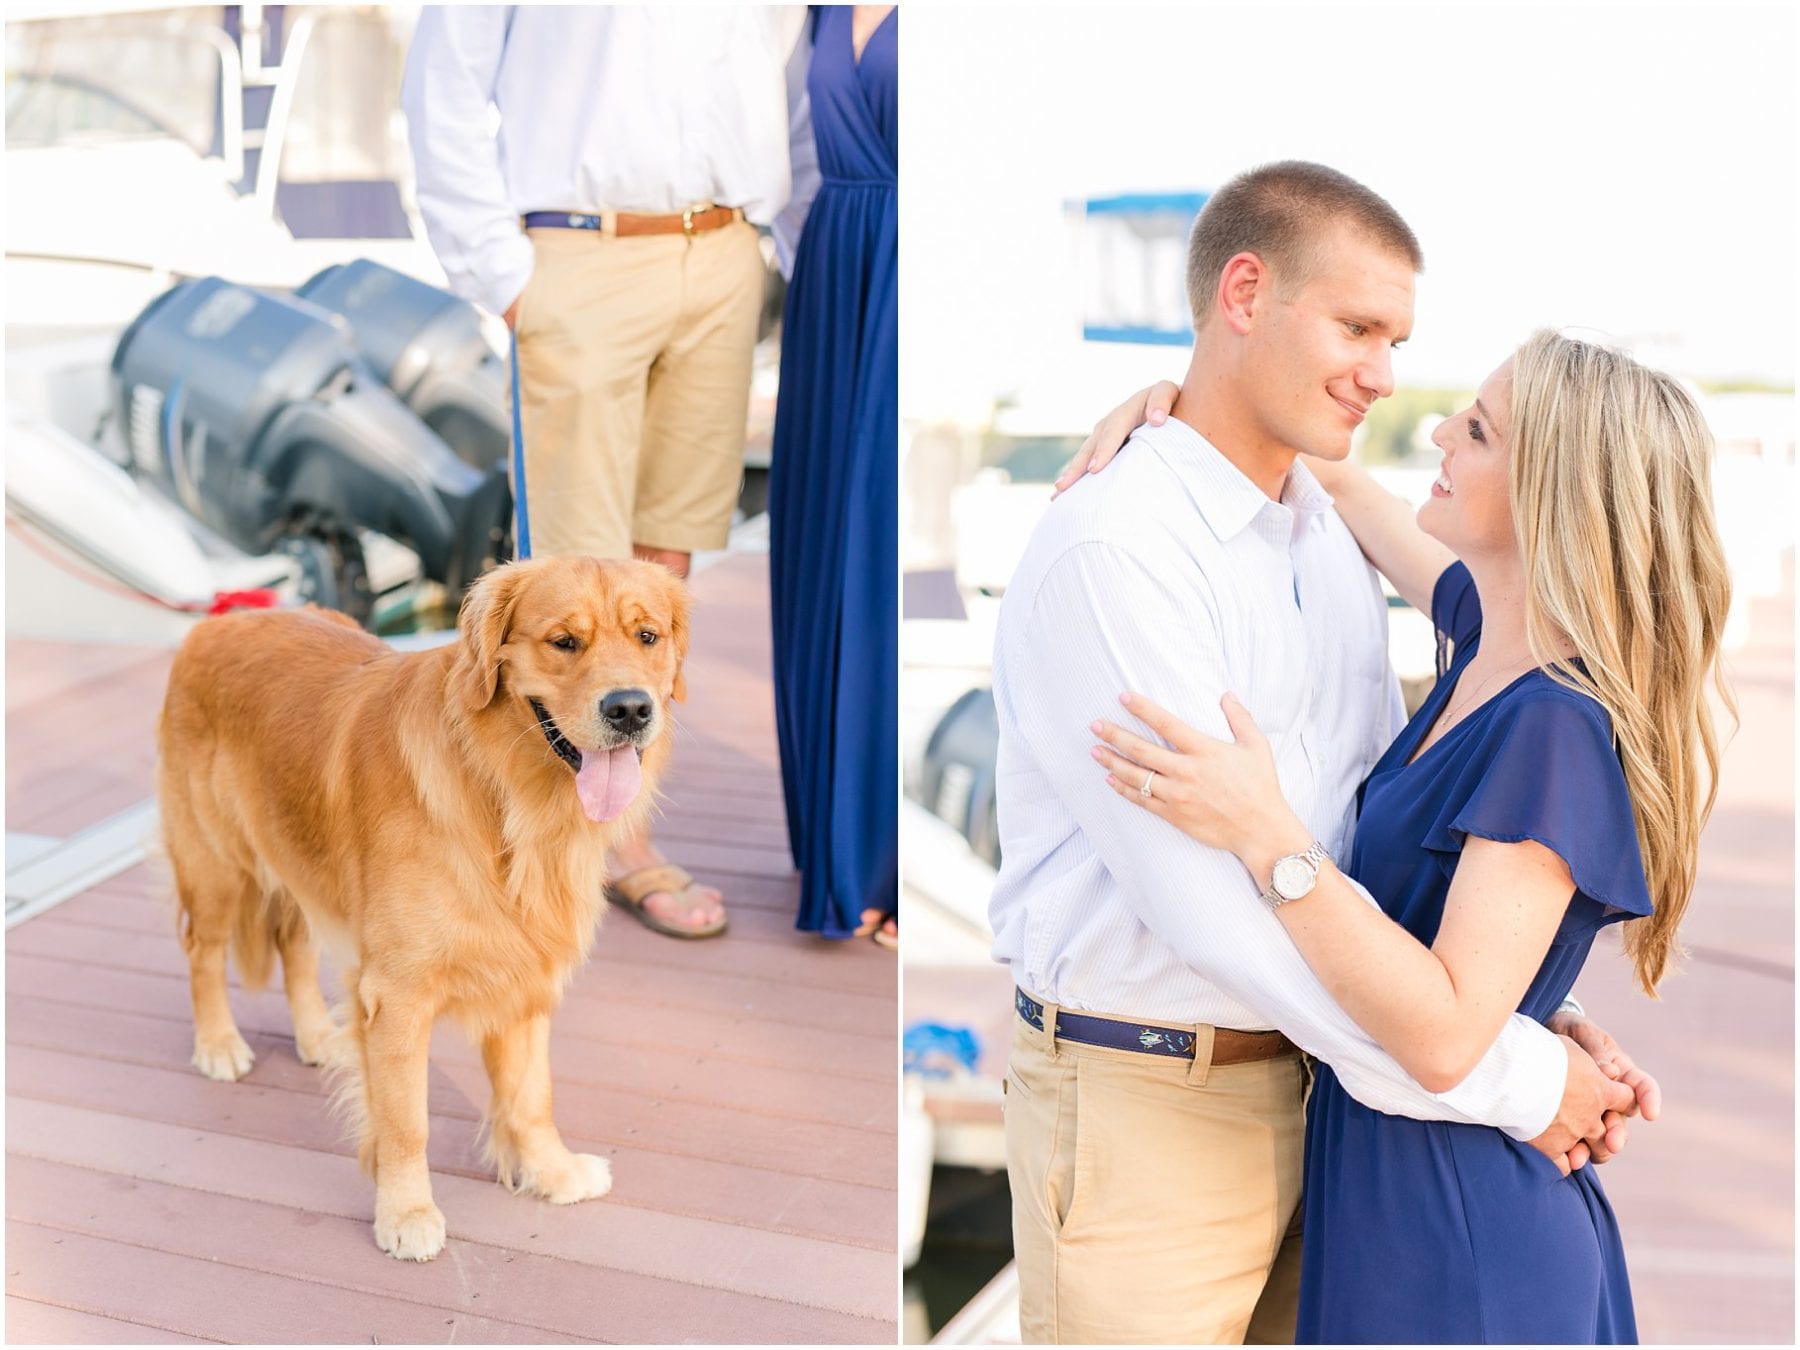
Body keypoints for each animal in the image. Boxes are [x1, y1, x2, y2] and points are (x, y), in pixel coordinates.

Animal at [156, 554, 687, 1267]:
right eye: (564, 641)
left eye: (647, 637)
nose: (630, 708)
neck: (508, 797)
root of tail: (221, 619)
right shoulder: (399, 995)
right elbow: (407, 1120)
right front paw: (406, 1213)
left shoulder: (527, 970)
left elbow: (531, 1093)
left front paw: (551, 1171)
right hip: (216, 863)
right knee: (204, 953)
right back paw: (218, 1044)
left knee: (293, 946)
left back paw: (316, 1037)